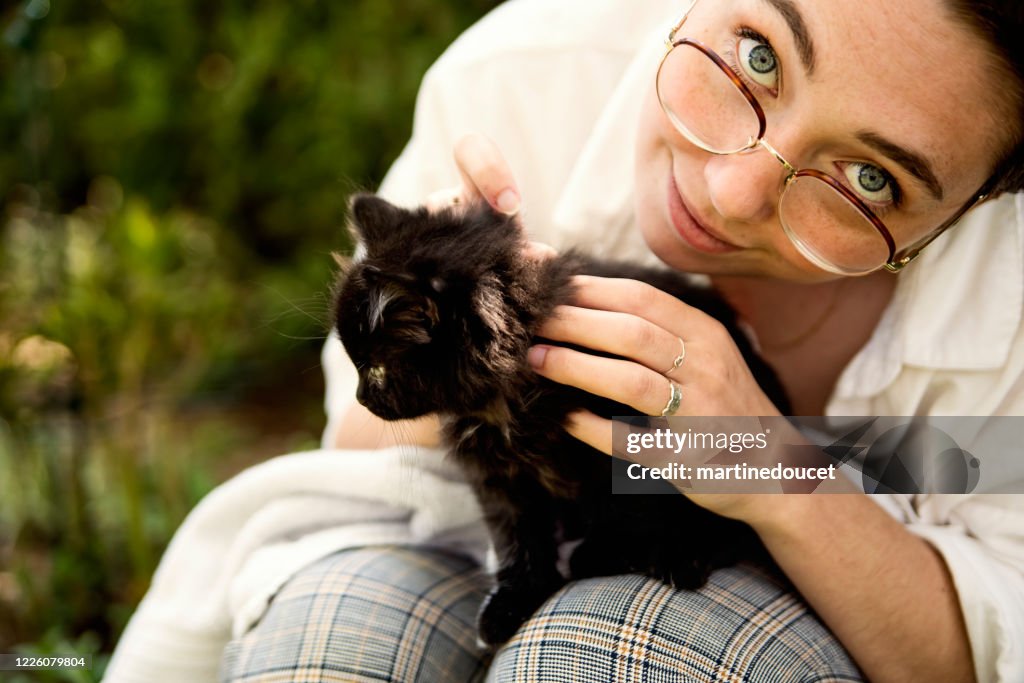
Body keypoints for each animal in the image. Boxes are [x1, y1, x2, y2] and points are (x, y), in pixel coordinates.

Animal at [331, 193, 786, 647]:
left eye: (376, 369)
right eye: (358, 367)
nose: (360, 397)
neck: (507, 401)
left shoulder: (626, 448)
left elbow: (625, 507)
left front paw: (601, 553)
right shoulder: (497, 476)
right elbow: (517, 536)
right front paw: (514, 600)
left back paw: (684, 556)